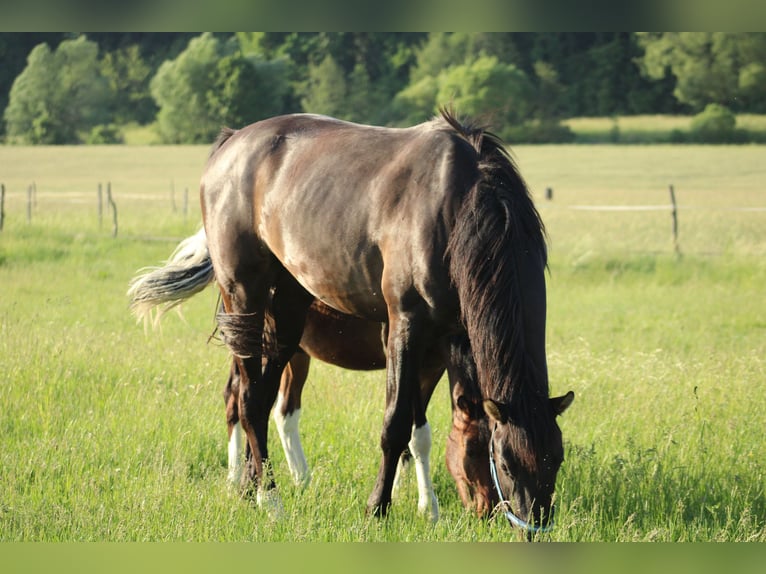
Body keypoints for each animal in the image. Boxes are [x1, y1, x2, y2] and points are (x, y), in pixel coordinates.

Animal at [128, 237, 496, 519]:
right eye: (474, 451)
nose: (488, 511)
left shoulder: (430, 367)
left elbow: (411, 433)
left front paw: (400, 488)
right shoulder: (412, 359)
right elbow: (417, 431)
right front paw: (424, 506)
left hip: (293, 354)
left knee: (279, 411)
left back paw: (296, 479)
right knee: (236, 399)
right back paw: (238, 479)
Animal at [195, 108, 574, 534]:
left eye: (557, 458)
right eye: (504, 461)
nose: (532, 526)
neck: (459, 205)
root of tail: (231, 141)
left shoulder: (451, 337)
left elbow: (418, 429)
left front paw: (426, 507)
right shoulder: (406, 326)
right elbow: (396, 424)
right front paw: (378, 507)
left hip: (289, 312)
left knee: (260, 399)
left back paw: (251, 490)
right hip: (244, 299)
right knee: (245, 398)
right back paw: (270, 499)